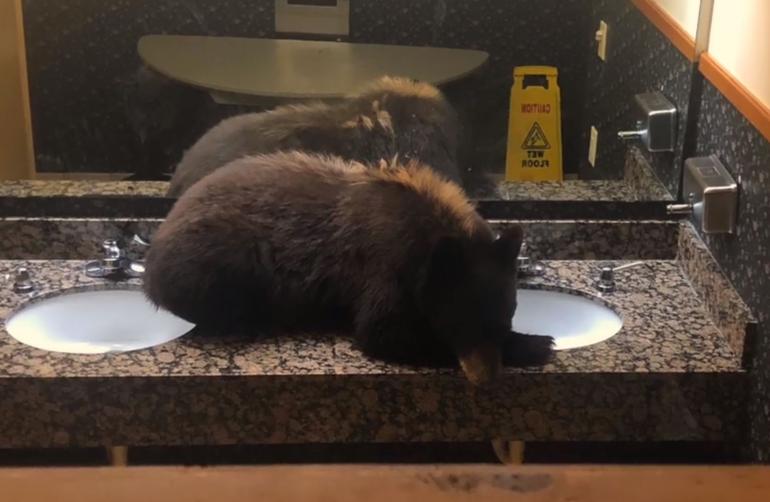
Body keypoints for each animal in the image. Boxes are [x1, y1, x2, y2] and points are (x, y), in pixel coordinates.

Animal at [145, 152, 553, 384]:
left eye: (507, 314)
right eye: (457, 321)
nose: (486, 379)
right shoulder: (383, 267)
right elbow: (384, 333)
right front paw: (535, 344)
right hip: (222, 260)